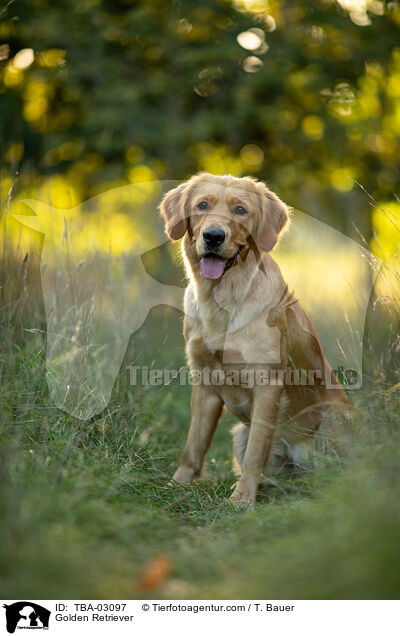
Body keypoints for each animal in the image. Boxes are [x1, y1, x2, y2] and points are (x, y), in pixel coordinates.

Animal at [159, 174, 350, 506]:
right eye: (202, 205)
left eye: (240, 210)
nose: (213, 236)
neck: (221, 301)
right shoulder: (204, 381)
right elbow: (194, 444)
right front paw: (177, 485)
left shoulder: (267, 382)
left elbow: (255, 452)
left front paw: (242, 498)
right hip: (240, 433)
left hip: (334, 418)